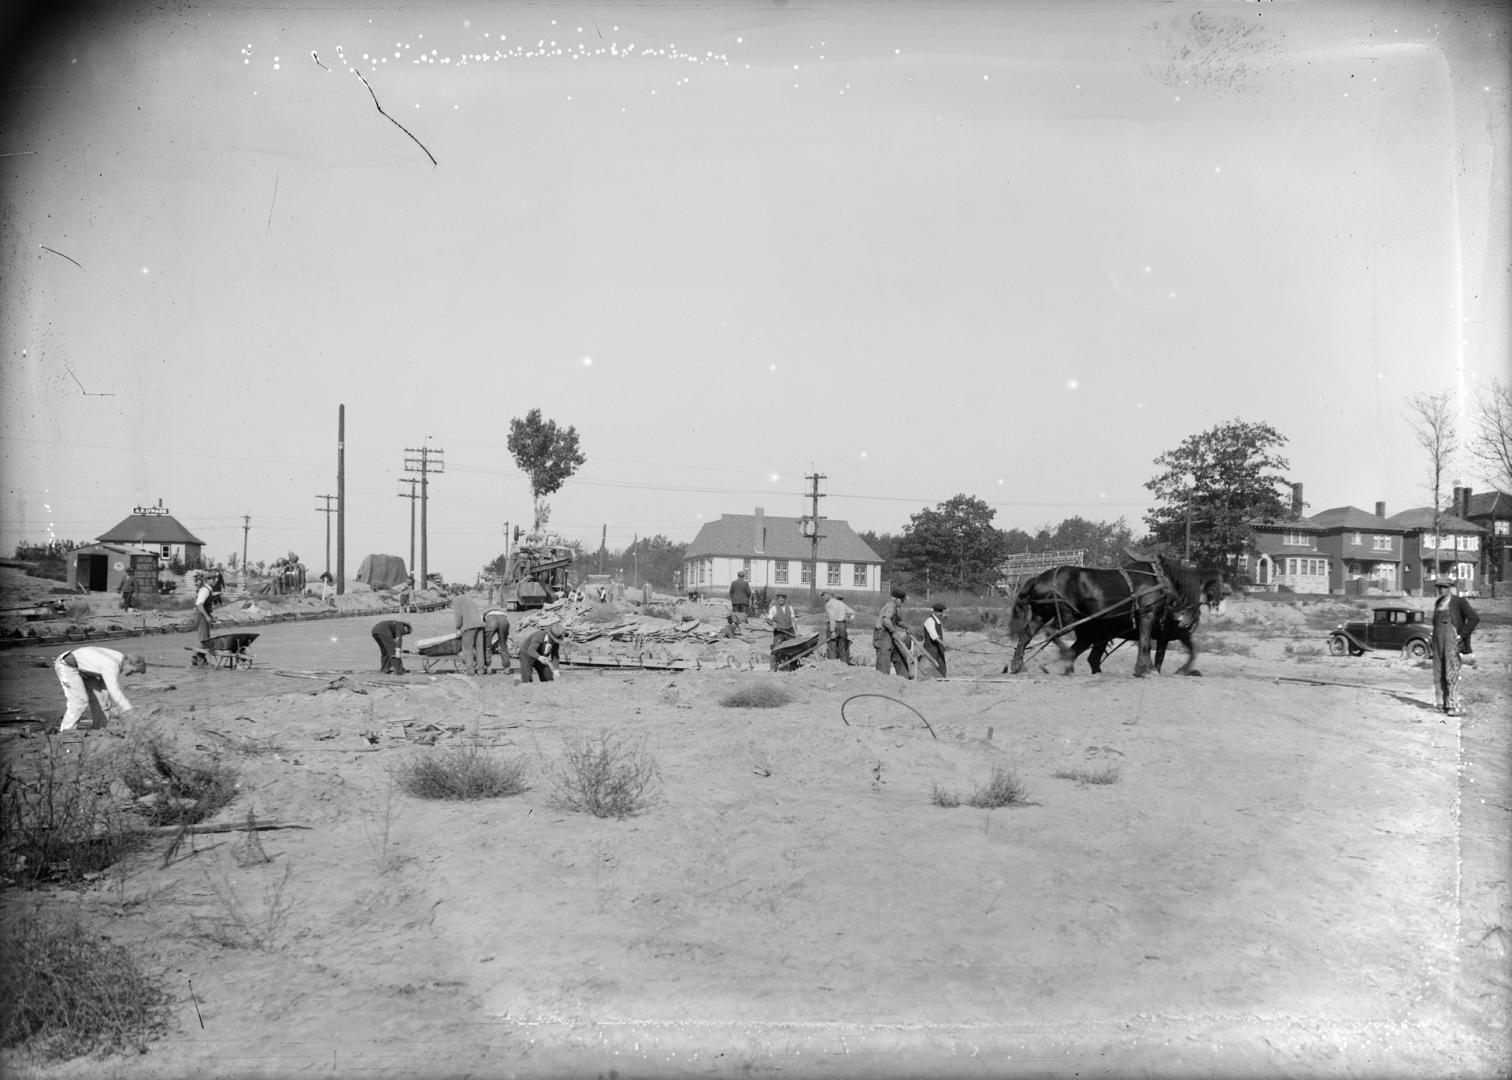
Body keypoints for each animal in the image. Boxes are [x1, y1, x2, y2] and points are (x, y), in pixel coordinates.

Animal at [1003, 550, 1203, 677]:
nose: (1188, 623)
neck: (1158, 578)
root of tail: (1038, 579)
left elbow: (1148, 643)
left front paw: (1147, 669)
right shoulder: (1148, 614)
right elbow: (1145, 642)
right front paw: (1145, 669)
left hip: (1040, 615)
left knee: (1026, 636)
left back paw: (1018, 665)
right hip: (1066, 615)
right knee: (1052, 633)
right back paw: (1065, 659)